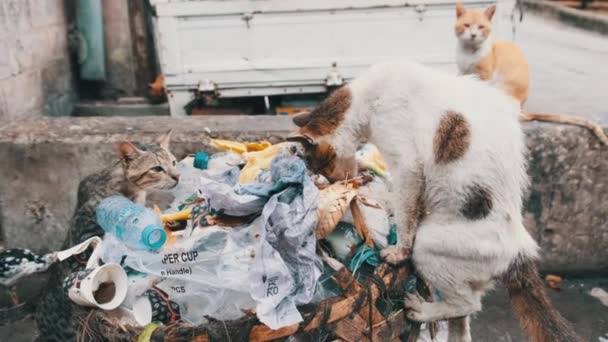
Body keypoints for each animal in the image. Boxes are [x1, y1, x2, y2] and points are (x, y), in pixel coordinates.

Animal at [288, 62, 580, 342]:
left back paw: (421, 310)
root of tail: (520, 251)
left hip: (429, 248)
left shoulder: (408, 166)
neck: (366, 98)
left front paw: (397, 251)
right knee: (462, 325)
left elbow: (406, 213)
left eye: (322, 166)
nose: (329, 180)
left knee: (468, 304)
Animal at [456, 2, 608, 145]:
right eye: (466, 25)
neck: (468, 52)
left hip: (501, 88)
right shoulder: (463, 72)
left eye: (481, 27)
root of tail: (522, 109)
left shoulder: (484, 74)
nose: (473, 35)